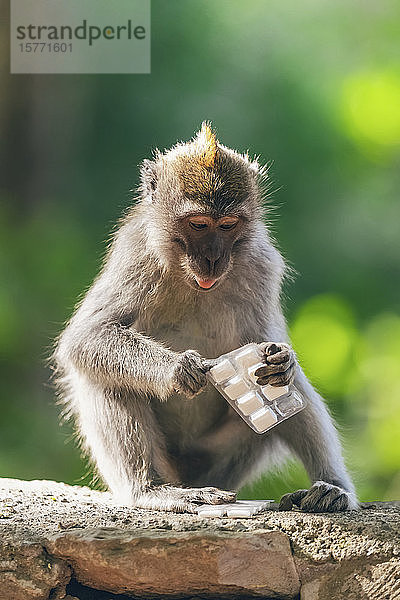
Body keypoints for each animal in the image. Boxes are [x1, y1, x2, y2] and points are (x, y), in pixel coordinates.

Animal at [54, 120, 360, 510]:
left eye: (228, 225)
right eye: (199, 224)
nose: (214, 258)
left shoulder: (261, 265)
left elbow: (269, 344)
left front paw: (281, 360)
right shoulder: (137, 254)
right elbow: (87, 336)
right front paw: (177, 368)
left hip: (218, 459)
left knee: (294, 390)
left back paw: (333, 487)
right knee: (106, 377)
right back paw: (150, 489)